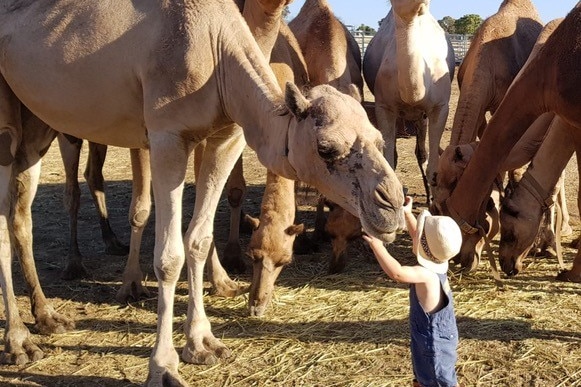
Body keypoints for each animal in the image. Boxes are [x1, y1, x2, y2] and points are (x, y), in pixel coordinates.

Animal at [0, 0, 404, 384]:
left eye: (379, 139)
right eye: (326, 148)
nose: (393, 204)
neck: (215, 47)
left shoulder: (225, 135)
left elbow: (198, 239)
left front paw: (203, 344)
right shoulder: (166, 135)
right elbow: (168, 256)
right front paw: (163, 367)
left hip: (36, 122)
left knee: (19, 214)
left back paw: (48, 318)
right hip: (9, 124)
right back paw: (19, 343)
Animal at [362, 0, 454, 205]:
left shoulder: (440, 107)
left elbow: (433, 167)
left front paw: (433, 203)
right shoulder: (384, 107)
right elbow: (389, 162)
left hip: (422, 116)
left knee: (422, 154)